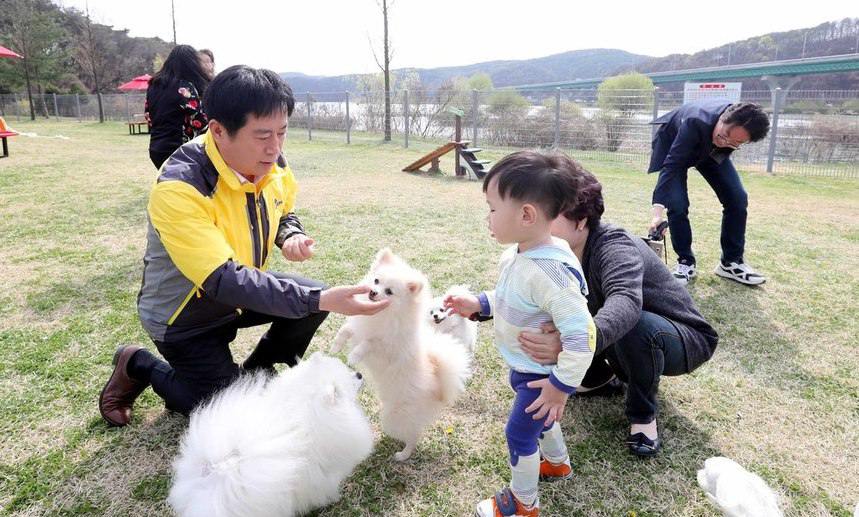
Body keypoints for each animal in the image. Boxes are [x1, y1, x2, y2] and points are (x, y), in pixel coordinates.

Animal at [332, 248, 474, 462]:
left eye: (389, 291)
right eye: (376, 281)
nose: (373, 292)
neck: (384, 315)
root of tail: (439, 387)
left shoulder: (386, 347)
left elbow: (369, 343)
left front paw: (354, 356)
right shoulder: (359, 325)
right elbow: (346, 330)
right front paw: (336, 346)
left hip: (395, 416)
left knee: (413, 436)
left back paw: (403, 454)